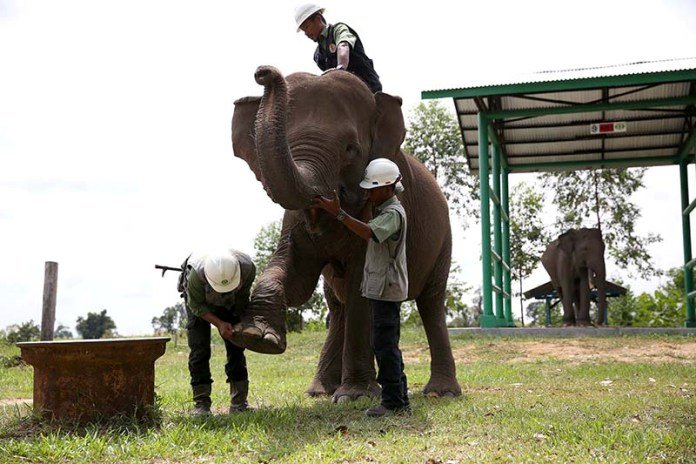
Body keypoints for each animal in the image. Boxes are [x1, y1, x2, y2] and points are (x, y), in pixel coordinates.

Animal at [229, 65, 461, 401]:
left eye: (351, 149)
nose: (263, 73)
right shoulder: (294, 220)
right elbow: (295, 277)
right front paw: (256, 337)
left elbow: (360, 285)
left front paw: (356, 396)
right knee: (337, 306)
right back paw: (320, 391)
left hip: (444, 240)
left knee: (430, 303)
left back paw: (439, 393)